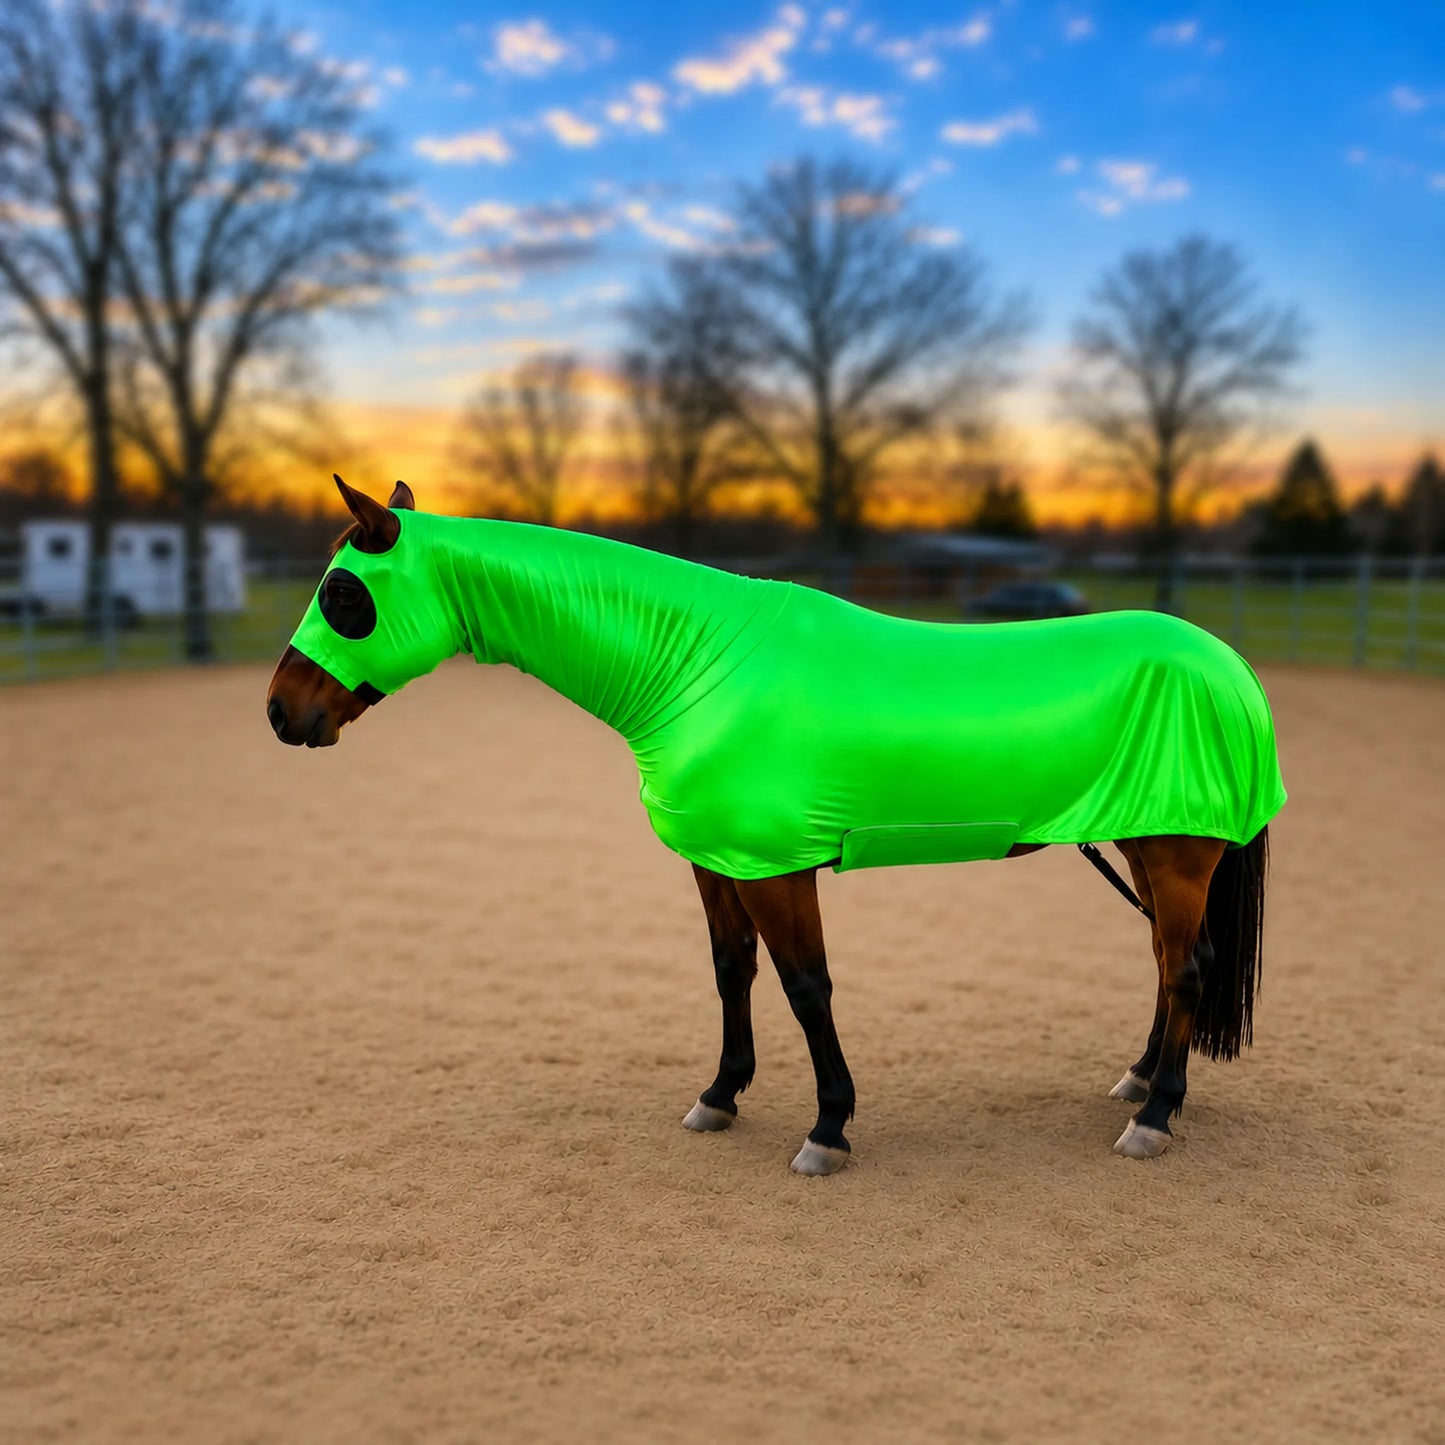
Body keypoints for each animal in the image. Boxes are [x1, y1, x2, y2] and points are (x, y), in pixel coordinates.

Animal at [267, 476, 1282, 1176]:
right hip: (1142, 845)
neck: (690, 667)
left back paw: (1153, 1118)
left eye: (344, 596)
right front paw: (718, 1095)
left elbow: (806, 986)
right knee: (1164, 963)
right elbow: (733, 972)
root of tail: (1228, 666)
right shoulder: (717, 862)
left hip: (1176, 854)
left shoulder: (774, 868)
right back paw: (1139, 1081)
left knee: (1184, 966)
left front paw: (827, 1129)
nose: (280, 713)